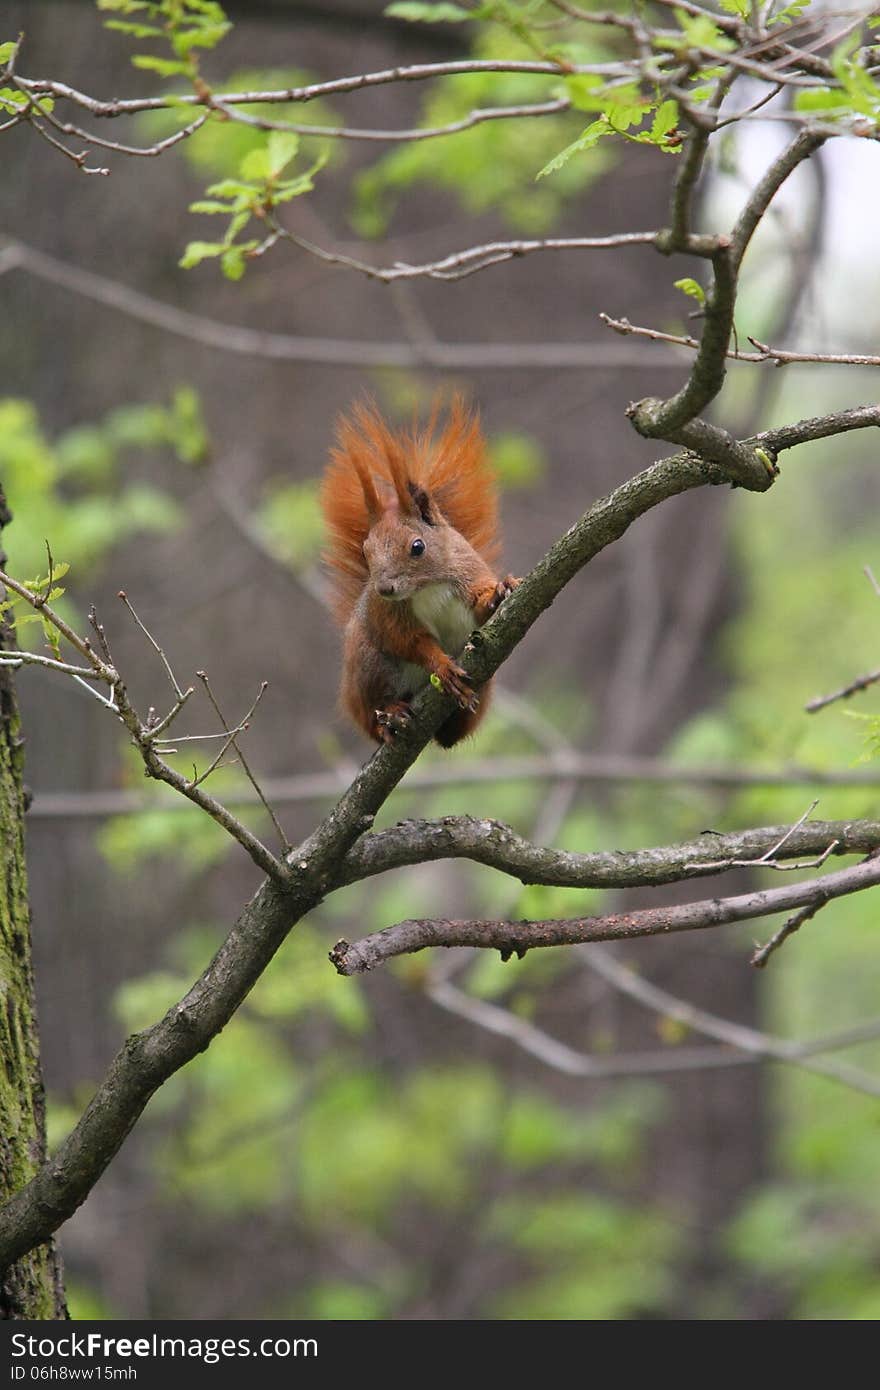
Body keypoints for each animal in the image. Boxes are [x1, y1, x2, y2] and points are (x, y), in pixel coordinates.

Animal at [321, 400, 514, 750]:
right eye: (366, 551)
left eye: (417, 546)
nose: (384, 589)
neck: (427, 586)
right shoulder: (391, 616)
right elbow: (411, 641)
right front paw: (443, 667)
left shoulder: (467, 572)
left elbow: (480, 606)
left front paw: (500, 591)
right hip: (371, 667)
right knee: (373, 716)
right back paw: (390, 715)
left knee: (453, 735)